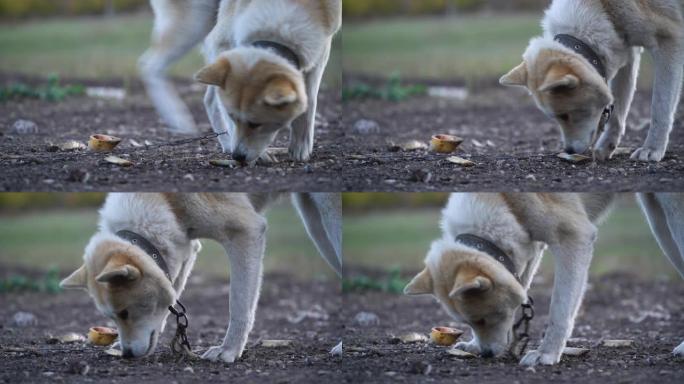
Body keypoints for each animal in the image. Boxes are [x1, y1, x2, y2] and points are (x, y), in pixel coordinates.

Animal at [58, 192, 342, 364]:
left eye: (125, 313)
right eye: (111, 318)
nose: (127, 354)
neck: (165, 200)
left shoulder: (247, 230)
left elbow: (239, 305)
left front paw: (228, 351)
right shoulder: (185, 247)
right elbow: (172, 294)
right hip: (315, 224)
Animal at [139, 0, 342, 163]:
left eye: (256, 123)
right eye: (232, 117)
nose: (238, 157)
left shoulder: (321, 49)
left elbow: (310, 100)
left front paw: (301, 148)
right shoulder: (222, 40)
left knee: (209, 98)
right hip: (194, 21)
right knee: (149, 65)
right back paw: (179, 119)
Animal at [406, 194, 684, 364]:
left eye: (485, 318)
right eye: (469, 322)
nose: (486, 355)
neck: (504, 201)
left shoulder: (575, 237)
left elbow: (559, 310)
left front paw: (546, 354)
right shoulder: (528, 249)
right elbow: (522, 287)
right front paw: (475, 344)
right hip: (659, 222)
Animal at [496, 0, 684, 162]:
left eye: (564, 115)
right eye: (556, 118)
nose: (569, 151)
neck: (602, 8)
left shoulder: (669, 39)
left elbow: (660, 107)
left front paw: (652, 149)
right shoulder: (627, 51)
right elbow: (617, 110)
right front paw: (606, 147)